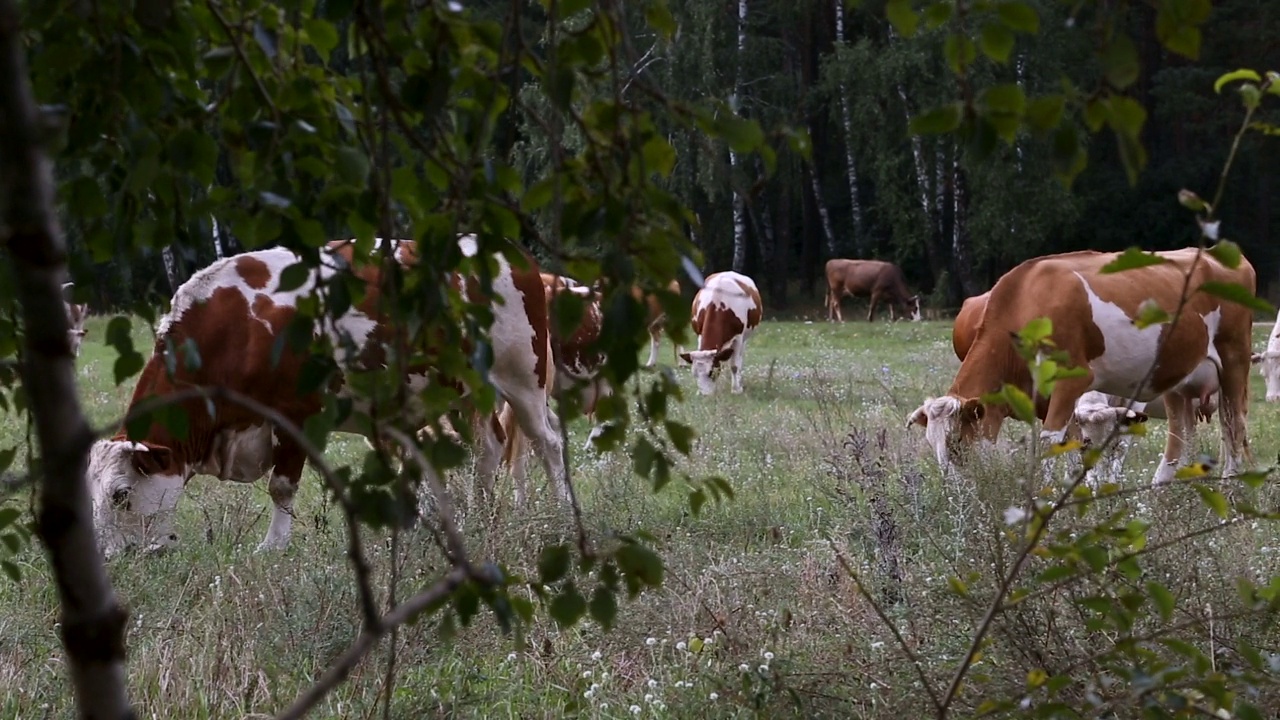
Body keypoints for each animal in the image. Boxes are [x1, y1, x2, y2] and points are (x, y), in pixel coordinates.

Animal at [87, 235, 568, 556]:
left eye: (120, 495)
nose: (114, 558)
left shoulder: (293, 414)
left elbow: (281, 487)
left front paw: (272, 548)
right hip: (464, 392)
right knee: (488, 448)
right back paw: (479, 515)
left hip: (522, 376)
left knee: (547, 442)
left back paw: (562, 509)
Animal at [911, 248, 1259, 486]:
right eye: (931, 445)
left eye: (957, 444)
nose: (956, 496)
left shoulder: (1072, 383)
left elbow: (1051, 442)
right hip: (1178, 380)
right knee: (1184, 435)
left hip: (1234, 360)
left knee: (1234, 426)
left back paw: (1230, 486)